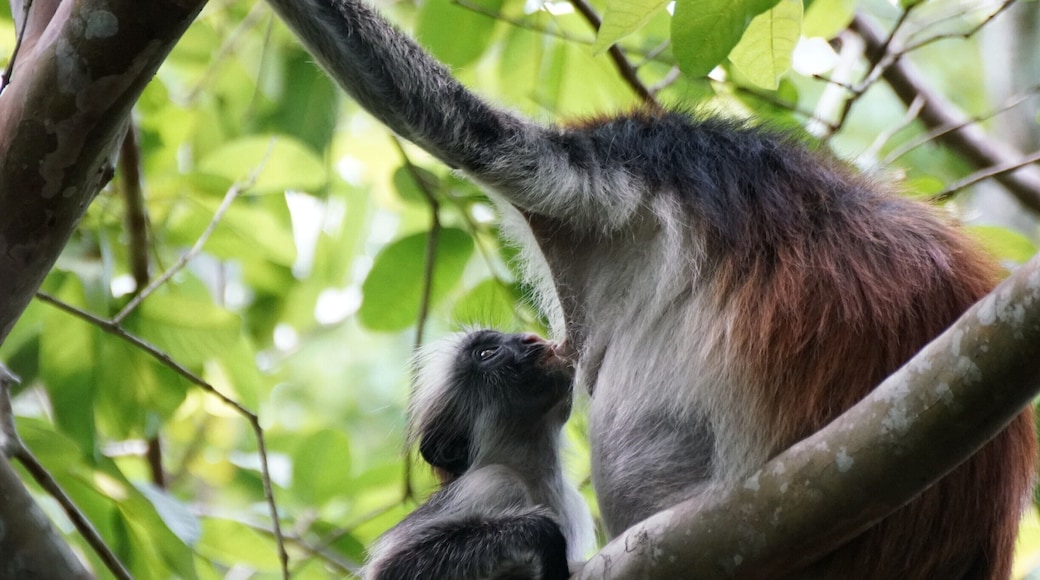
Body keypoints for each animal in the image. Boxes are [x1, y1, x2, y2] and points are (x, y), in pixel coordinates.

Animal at [363, 330, 595, 580]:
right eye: (486, 353)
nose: (530, 337)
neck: (537, 476)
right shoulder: (493, 481)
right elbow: (391, 569)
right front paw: (544, 533)